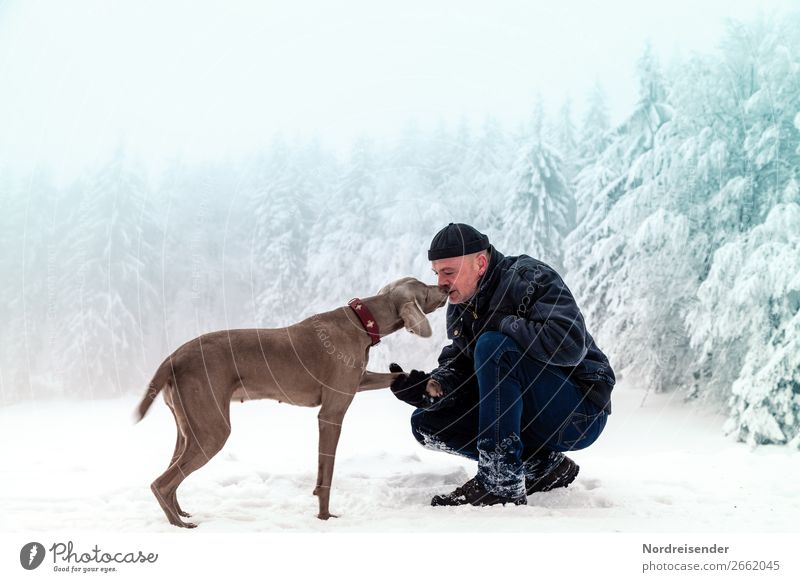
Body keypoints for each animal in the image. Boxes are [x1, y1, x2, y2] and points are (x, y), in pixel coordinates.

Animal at [138, 278, 450, 528]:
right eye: (425, 287)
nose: (446, 287)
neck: (361, 321)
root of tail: (174, 357)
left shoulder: (359, 381)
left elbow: (398, 375)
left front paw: (426, 383)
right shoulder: (331, 413)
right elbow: (326, 475)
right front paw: (324, 517)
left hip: (188, 428)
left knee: (171, 474)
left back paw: (181, 513)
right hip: (212, 431)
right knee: (160, 483)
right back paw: (178, 524)